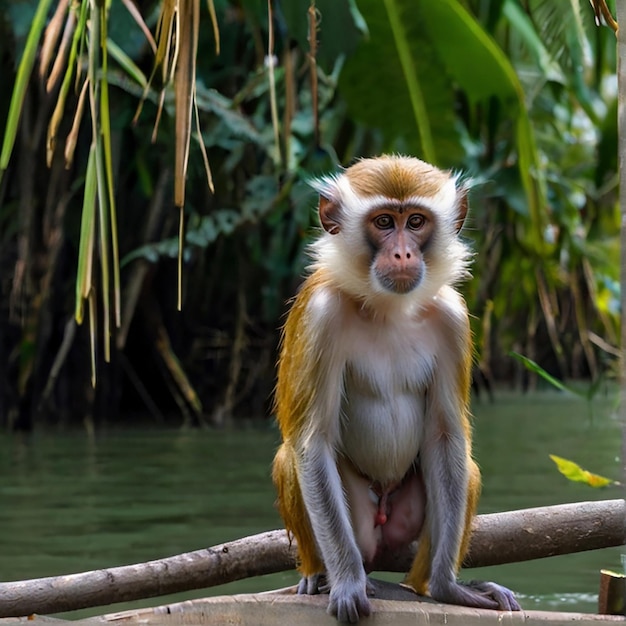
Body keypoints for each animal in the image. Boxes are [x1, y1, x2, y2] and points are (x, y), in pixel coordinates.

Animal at [270, 155, 520, 620]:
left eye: (416, 221)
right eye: (384, 221)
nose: (402, 252)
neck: (388, 308)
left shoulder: (452, 318)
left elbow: (445, 437)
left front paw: (448, 588)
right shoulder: (321, 315)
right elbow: (313, 443)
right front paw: (348, 584)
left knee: (465, 469)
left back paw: (426, 586)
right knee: (289, 458)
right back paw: (322, 575)